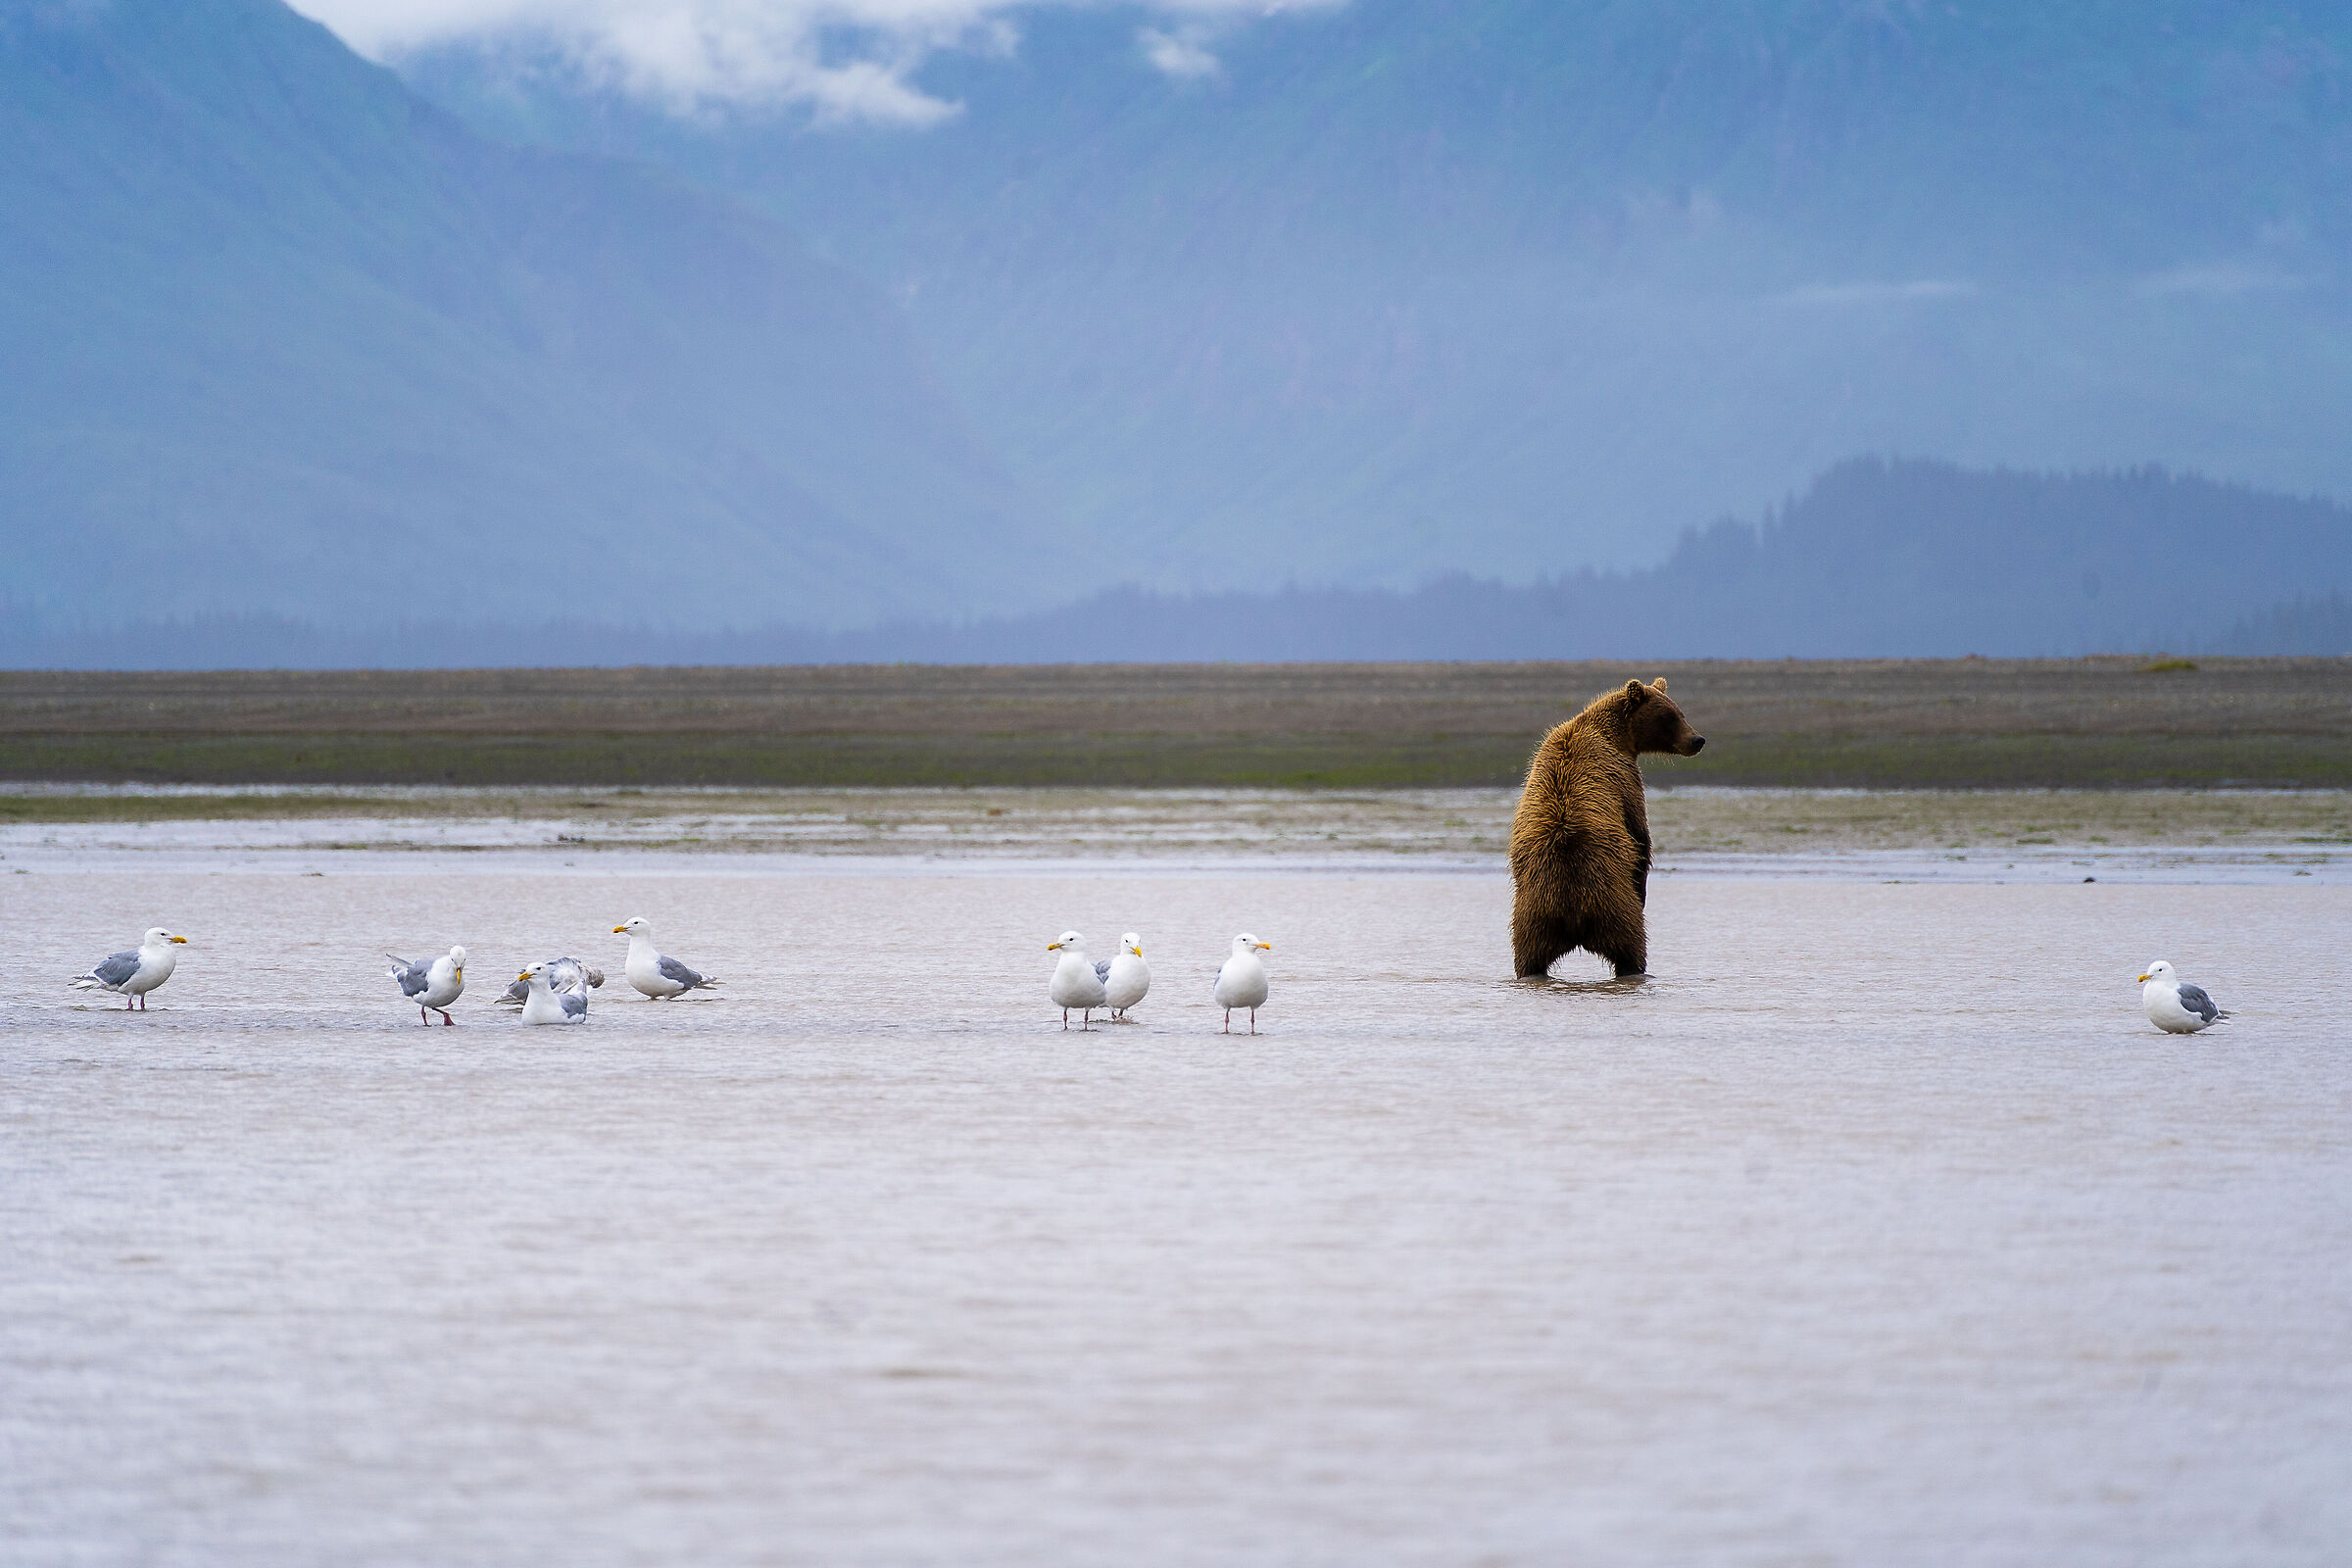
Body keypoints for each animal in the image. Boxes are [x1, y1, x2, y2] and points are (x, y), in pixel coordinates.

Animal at [1509, 677, 1706, 979]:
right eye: (1670, 716)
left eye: (1680, 713)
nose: (1697, 740)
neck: (1616, 736)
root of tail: (1572, 913)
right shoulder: (1623, 778)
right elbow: (1639, 834)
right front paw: (1643, 885)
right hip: (1611, 903)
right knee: (1632, 946)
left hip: (1532, 917)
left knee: (1529, 959)